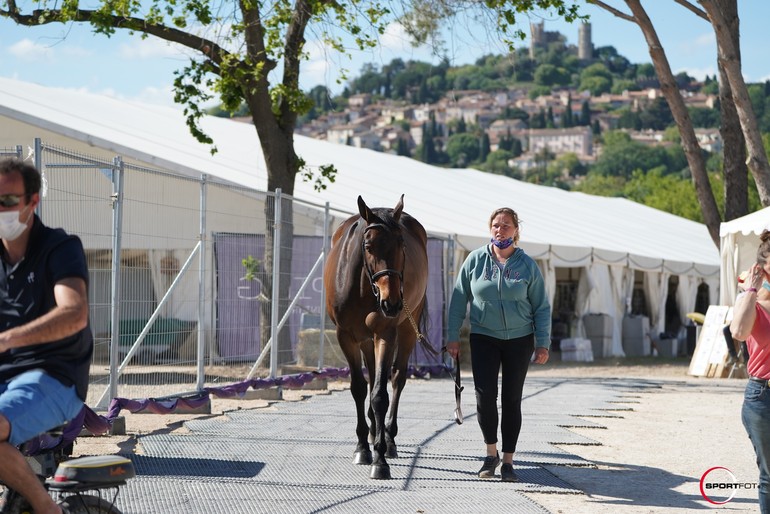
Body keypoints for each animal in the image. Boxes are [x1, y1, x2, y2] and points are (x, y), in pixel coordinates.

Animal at [322, 194, 426, 478]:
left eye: (402, 244)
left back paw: (388, 439)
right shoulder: (345, 336)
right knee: (369, 380)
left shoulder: (385, 334)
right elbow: (359, 388)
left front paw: (380, 458)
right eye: (368, 246)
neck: (362, 287)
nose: (392, 303)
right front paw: (362, 447)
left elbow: (380, 394)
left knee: (397, 378)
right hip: (365, 339)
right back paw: (371, 434)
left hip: (408, 325)